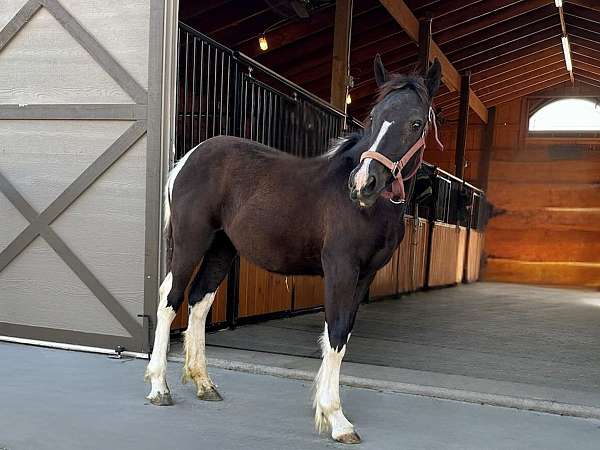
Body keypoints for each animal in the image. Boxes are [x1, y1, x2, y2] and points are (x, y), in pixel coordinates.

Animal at [146, 55, 440, 442]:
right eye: (373, 118)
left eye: (416, 123)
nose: (364, 183)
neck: (367, 209)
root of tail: (189, 157)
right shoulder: (340, 269)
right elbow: (335, 332)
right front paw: (336, 419)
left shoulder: (365, 276)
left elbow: (343, 333)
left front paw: (327, 412)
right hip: (190, 243)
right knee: (170, 299)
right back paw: (158, 387)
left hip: (222, 248)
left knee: (199, 301)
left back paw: (204, 384)